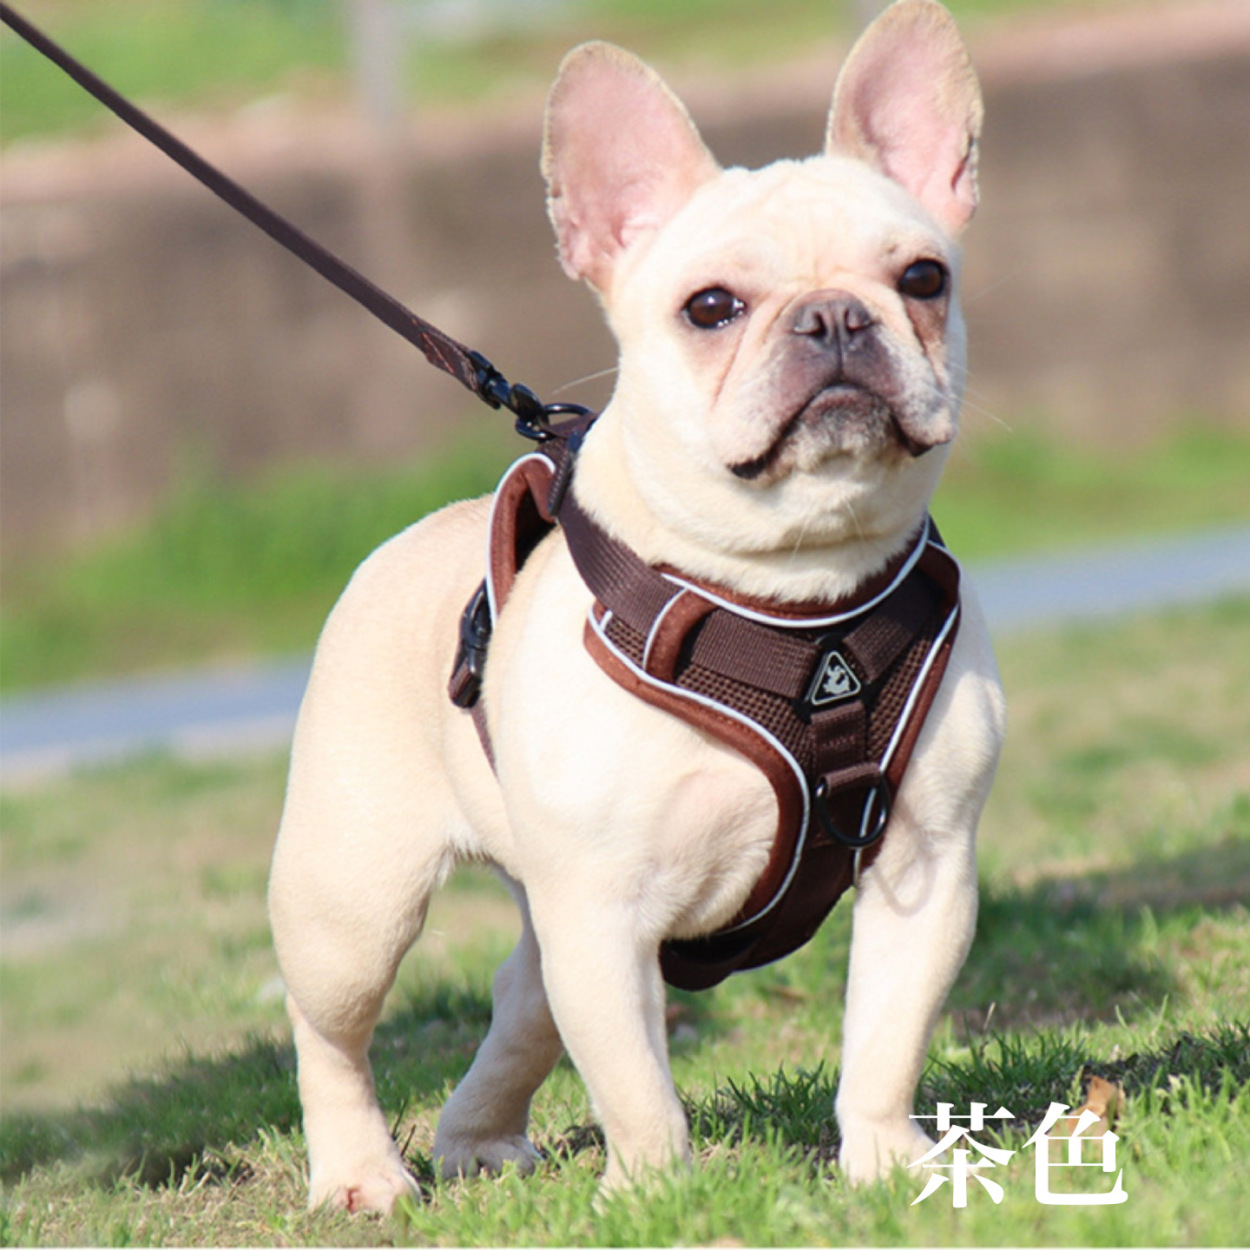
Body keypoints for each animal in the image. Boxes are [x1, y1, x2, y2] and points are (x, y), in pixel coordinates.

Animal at [271, 0, 1005, 1210]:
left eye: (923, 278)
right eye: (710, 308)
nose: (836, 318)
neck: (794, 593)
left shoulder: (924, 866)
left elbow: (885, 1036)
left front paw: (885, 1160)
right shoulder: (604, 908)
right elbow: (632, 1079)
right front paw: (662, 1192)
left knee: (520, 999)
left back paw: (477, 1138)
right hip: (353, 903)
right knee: (332, 1029)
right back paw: (360, 1173)